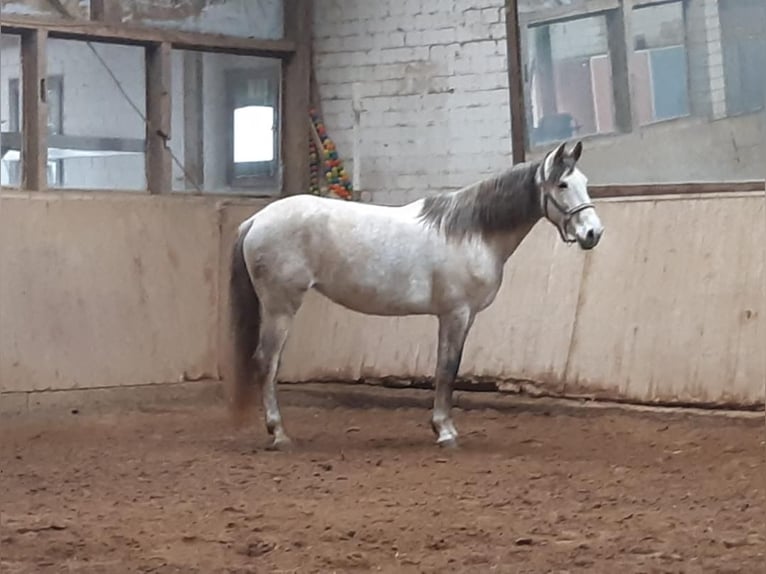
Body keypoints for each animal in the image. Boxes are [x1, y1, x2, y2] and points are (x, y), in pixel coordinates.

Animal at [228, 142, 608, 452]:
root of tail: (256, 220)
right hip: (280, 307)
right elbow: (447, 368)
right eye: (562, 184)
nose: (594, 233)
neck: (472, 232)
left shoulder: (460, 316)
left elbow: (445, 367)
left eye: (584, 181)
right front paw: (445, 432)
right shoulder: (455, 314)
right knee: (267, 362)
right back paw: (279, 434)